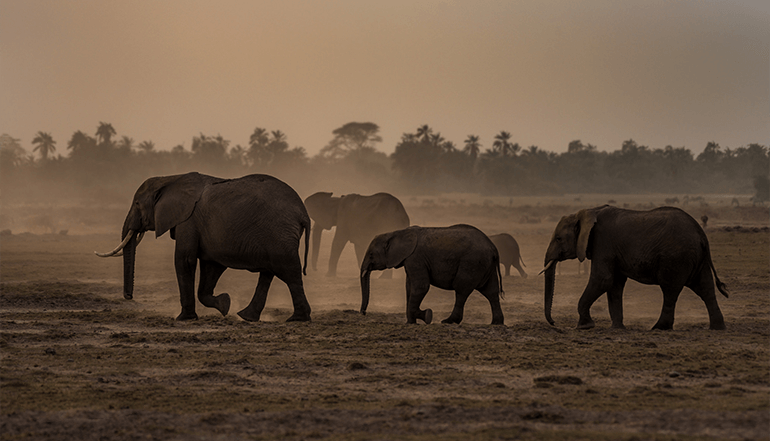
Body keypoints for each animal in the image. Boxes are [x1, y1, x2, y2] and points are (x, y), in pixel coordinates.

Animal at [95, 172, 312, 322]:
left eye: (137, 204)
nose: (128, 296)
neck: (170, 179)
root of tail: (303, 213)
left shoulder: (188, 221)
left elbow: (184, 261)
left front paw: (184, 319)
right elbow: (211, 267)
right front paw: (225, 304)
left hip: (279, 234)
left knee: (289, 271)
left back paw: (297, 319)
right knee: (268, 272)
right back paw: (247, 316)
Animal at [360, 224, 505, 325]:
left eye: (371, 255)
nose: (363, 313)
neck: (396, 232)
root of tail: (494, 248)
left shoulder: (415, 258)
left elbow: (421, 287)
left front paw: (427, 315)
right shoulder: (410, 260)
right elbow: (409, 288)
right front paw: (411, 322)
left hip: (472, 263)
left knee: (461, 290)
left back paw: (448, 321)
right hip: (485, 266)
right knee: (491, 292)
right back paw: (496, 323)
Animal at [542, 205, 728, 330]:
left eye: (558, 238)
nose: (554, 323)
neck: (589, 211)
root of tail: (701, 234)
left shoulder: (603, 243)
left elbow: (602, 280)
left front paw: (584, 327)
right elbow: (614, 285)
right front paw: (617, 328)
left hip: (676, 258)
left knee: (670, 291)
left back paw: (659, 328)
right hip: (696, 258)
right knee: (705, 288)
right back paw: (717, 327)